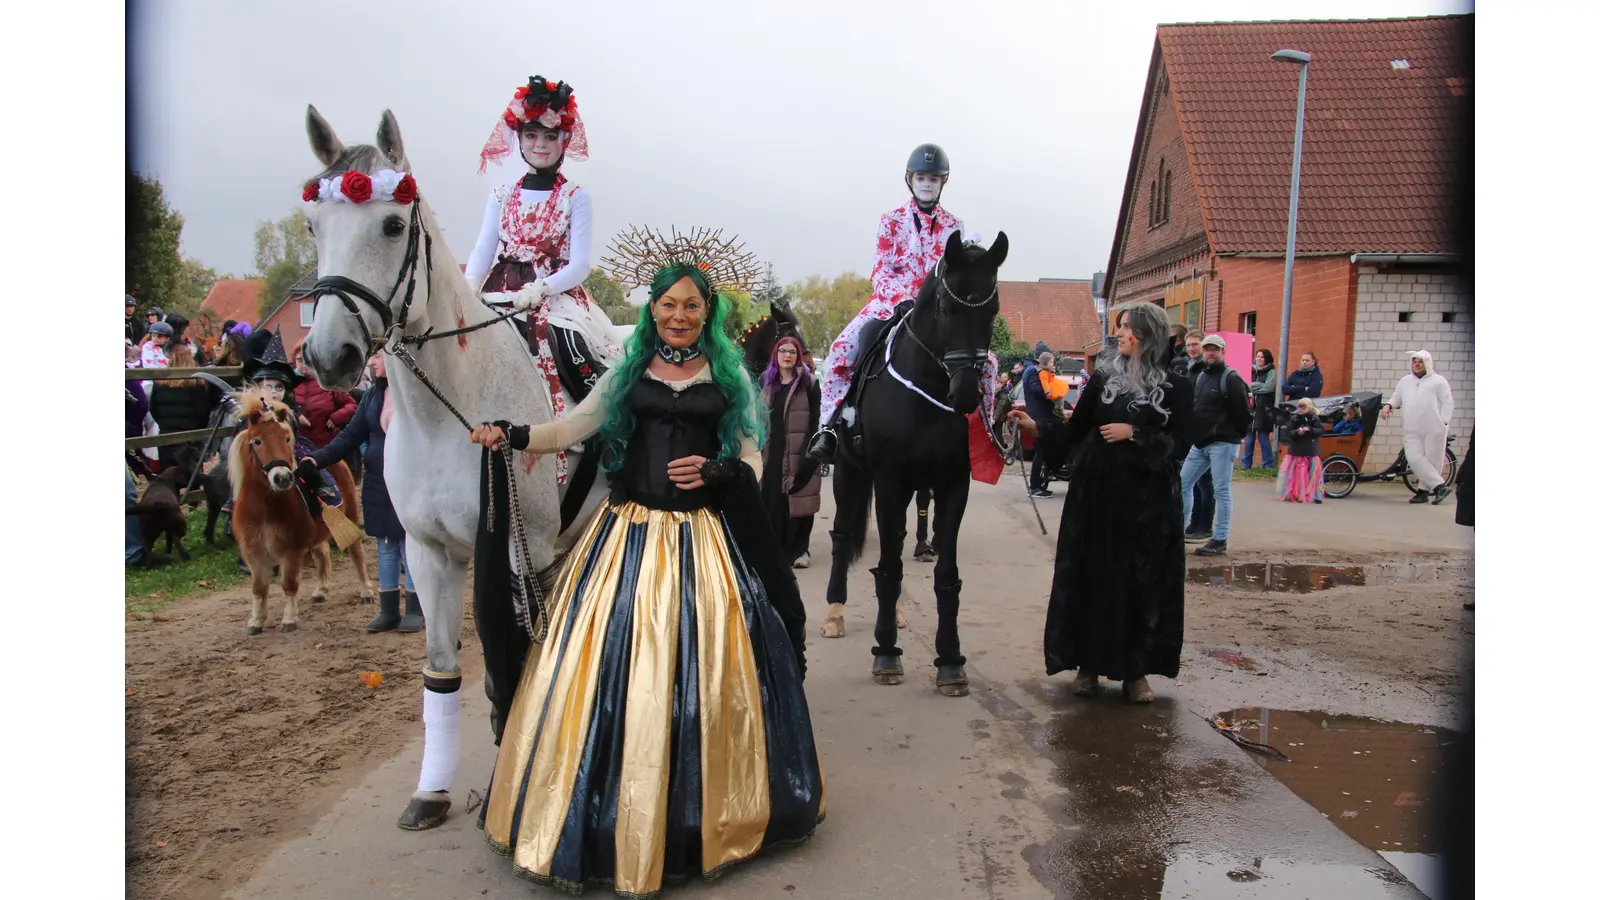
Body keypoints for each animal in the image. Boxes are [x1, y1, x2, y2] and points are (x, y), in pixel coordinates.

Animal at [228, 390, 371, 630]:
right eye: (257, 441)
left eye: (286, 438)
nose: (283, 478)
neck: (265, 507)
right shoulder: (252, 551)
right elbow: (258, 587)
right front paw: (256, 620)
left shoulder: (292, 548)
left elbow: (289, 583)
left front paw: (289, 618)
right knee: (323, 553)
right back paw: (321, 590)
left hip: (350, 515)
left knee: (356, 553)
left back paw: (366, 591)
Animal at [296, 108, 604, 832]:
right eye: (313, 225)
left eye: (392, 224)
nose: (329, 356)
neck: (449, 409)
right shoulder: (429, 552)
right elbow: (443, 670)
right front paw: (431, 792)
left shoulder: (516, 551)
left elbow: (512, 659)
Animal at [825, 229, 998, 695]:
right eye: (945, 308)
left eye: (992, 309)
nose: (967, 393)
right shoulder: (888, 482)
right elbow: (886, 568)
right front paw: (886, 653)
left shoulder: (954, 485)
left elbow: (945, 573)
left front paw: (951, 660)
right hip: (848, 474)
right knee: (843, 536)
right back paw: (834, 612)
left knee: (897, 541)